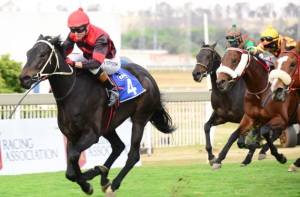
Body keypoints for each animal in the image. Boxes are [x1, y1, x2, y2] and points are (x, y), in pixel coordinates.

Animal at [18, 35, 176, 195]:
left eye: (42, 54)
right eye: (28, 53)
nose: (24, 78)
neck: (73, 91)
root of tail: (149, 76)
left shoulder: (92, 133)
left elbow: (74, 157)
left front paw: (86, 183)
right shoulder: (71, 135)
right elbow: (70, 172)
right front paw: (88, 177)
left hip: (140, 118)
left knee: (132, 155)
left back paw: (112, 184)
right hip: (108, 125)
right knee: (118, 146)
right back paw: (103, 175)